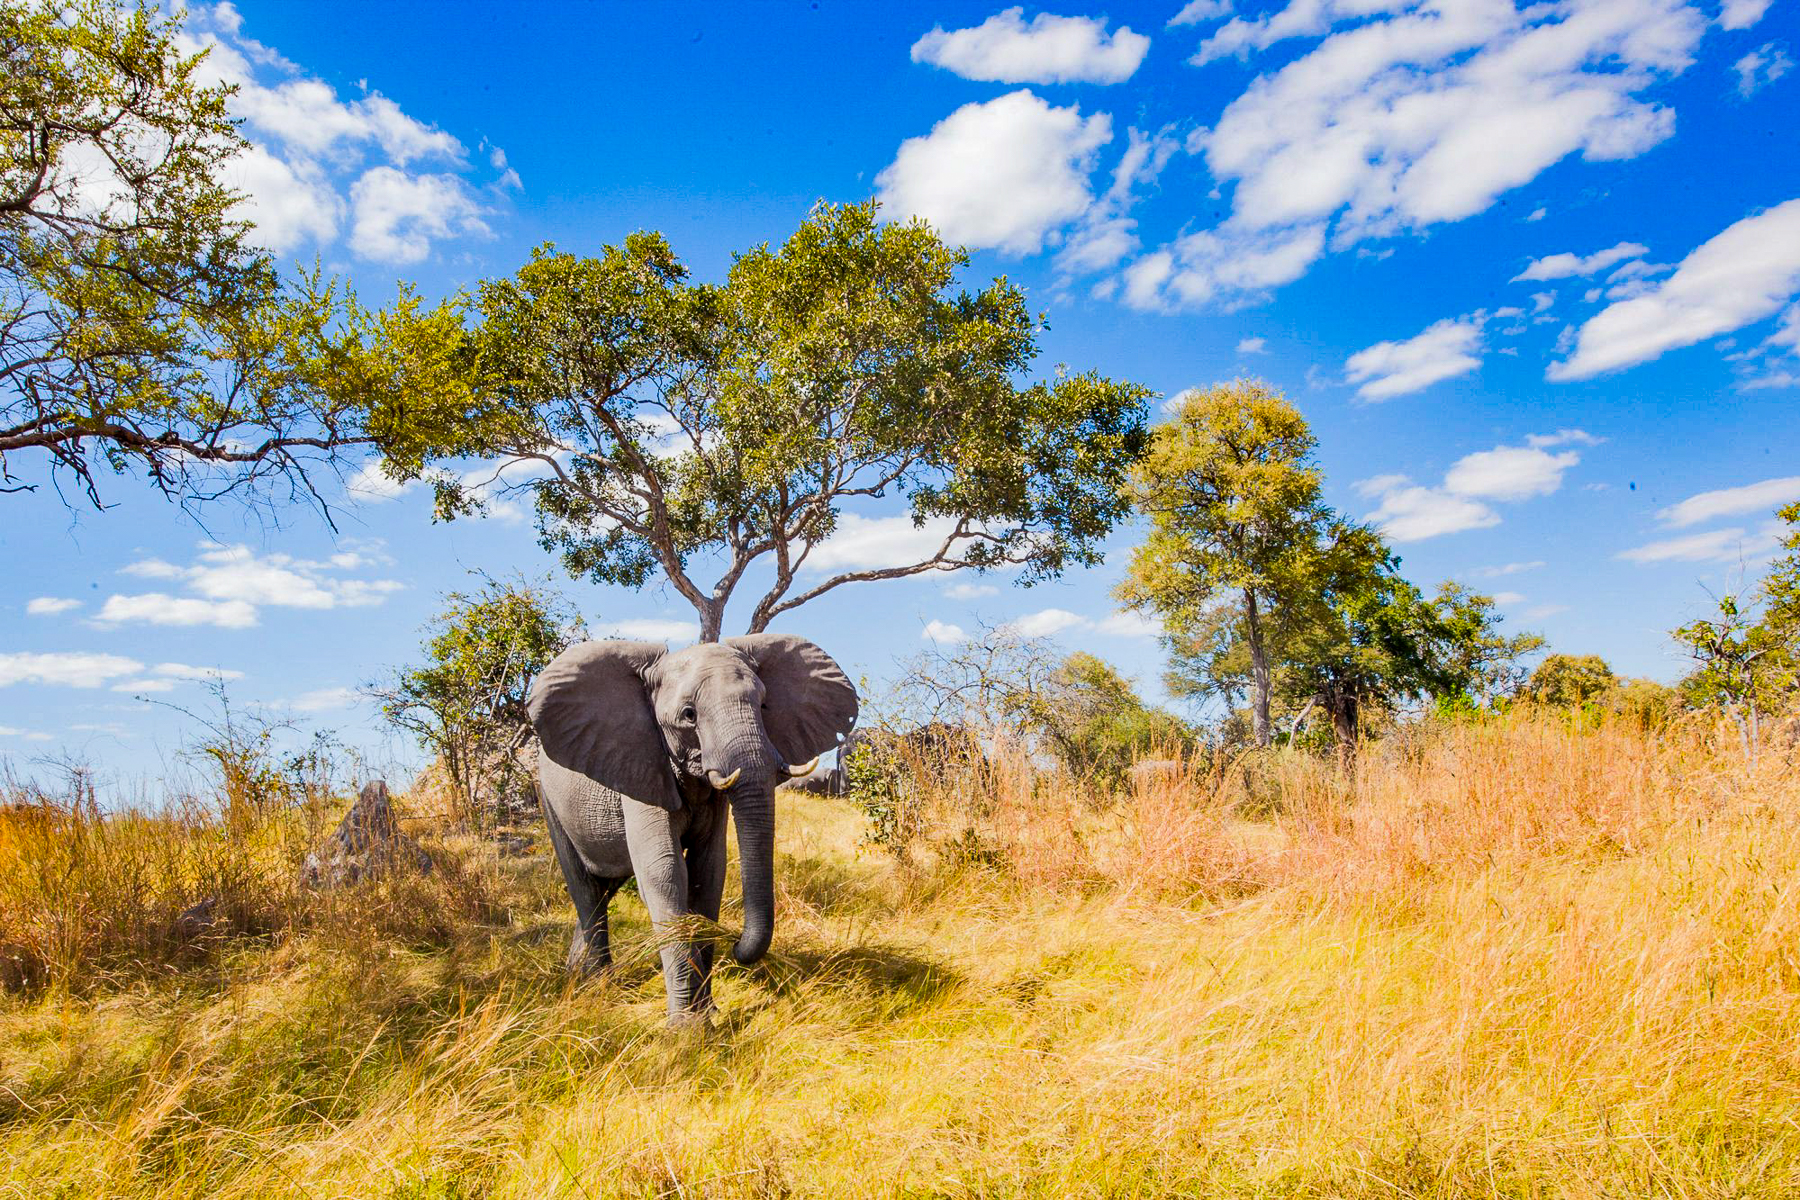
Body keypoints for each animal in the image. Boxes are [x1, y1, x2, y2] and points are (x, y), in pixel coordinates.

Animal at [527, 632, 858, 1024]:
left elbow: (708, 873)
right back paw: (599, 987)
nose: (736, 946)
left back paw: (577, 973)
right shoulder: (643, 764)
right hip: (548, 800)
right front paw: (689, 1028)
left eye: (764, 706)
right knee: (586, 890)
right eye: (689, 715)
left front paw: (708, 1011)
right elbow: (665, 873)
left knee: (605, 887)